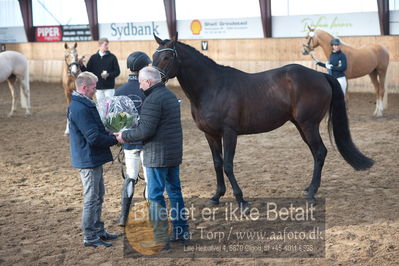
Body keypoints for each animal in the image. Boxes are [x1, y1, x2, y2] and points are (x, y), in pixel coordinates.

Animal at [153, 34, 376, 207]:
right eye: (154, 56)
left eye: (166, 56)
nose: (151, 80)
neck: (212, 87)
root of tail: (321, 76)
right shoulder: (211, 135)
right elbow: (217, 163)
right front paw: (216, 196)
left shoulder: (229, 133)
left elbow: (228, 165)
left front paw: (241, 200)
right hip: (301, 125)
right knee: (316, 153)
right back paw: (309, 188)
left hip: (308, 124)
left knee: (320, 151)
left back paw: (312, 193)